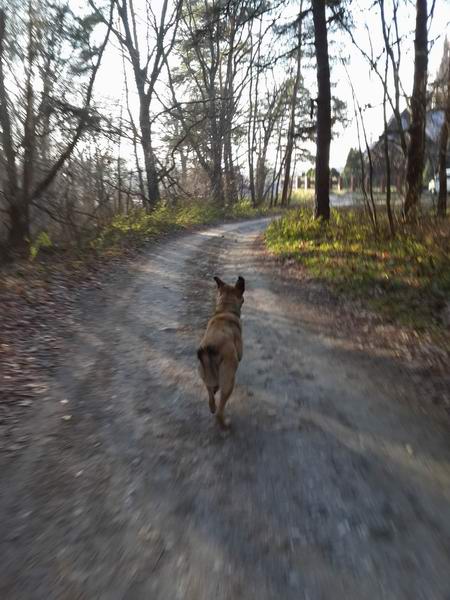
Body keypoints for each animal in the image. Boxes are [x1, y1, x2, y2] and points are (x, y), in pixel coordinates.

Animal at [198, 276, 246, 426]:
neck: (225, 310)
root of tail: (210, 348)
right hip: (229, 382)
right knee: (220, 410)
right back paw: (225, 424)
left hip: (204, 374)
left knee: (210, 395)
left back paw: (212, 406)